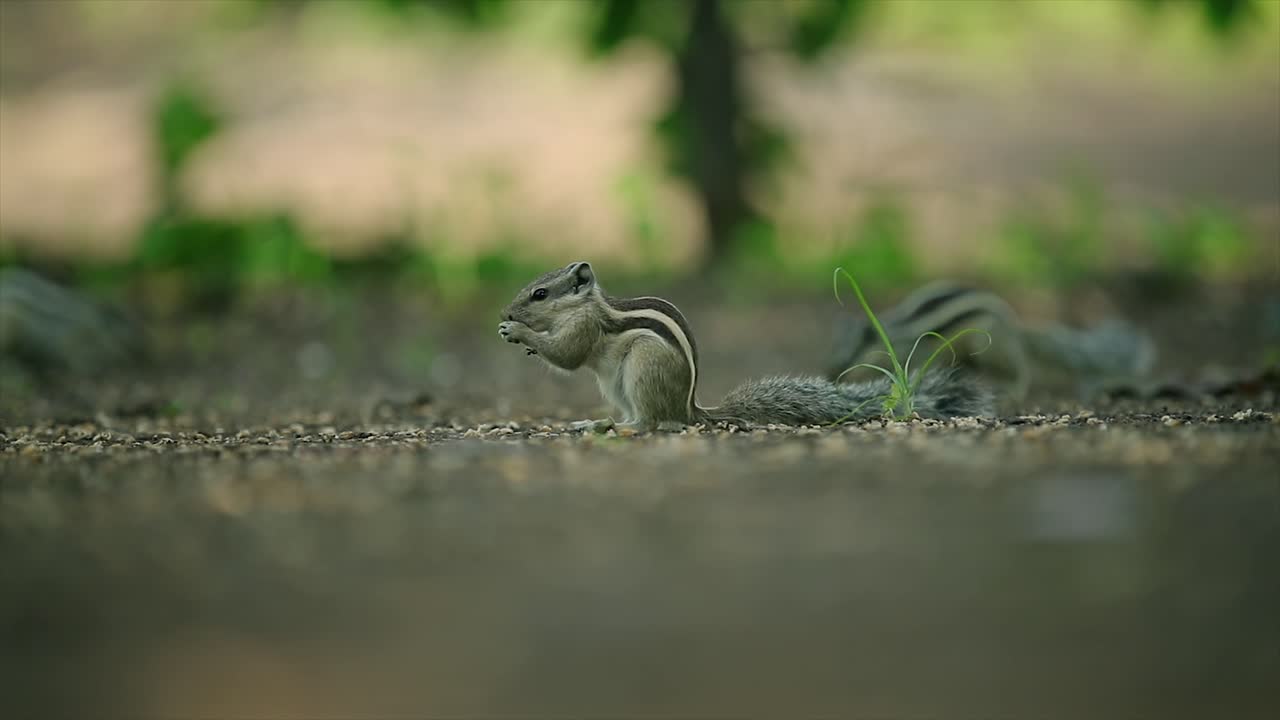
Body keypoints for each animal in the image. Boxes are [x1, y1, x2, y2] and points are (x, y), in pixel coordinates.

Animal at [497, 261, 993, 431]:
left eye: (539, 294)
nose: (507, 310)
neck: (585, 305)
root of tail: (690, 408)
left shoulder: (585, 327)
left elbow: (568, 355)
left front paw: (520, 334)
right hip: (615, 387)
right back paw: (593, 421)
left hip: (641, 369)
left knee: (652, 423)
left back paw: (621, 428)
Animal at [826, 281, 1157, 400]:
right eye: (834, 350)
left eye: (851, 355)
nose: (832, 374)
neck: (894, 330)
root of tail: (1014, 326)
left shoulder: (917, 350)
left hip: (992, 346)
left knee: (1022, 365)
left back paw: (1015, 387)